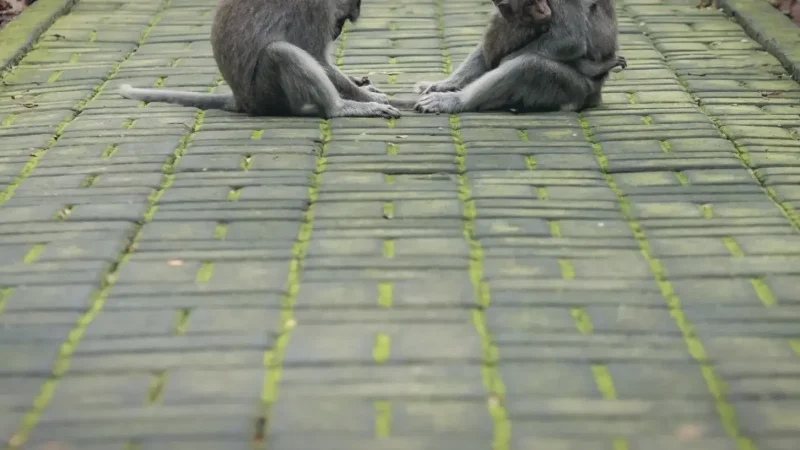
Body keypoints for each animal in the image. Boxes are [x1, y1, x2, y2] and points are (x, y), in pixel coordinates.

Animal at [119, 0, 400, 119]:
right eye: (342, 19)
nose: (337, 31)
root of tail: (242, 101)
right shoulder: (314, 8)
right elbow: (317, 57)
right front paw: (366, 97)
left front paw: (361, 84)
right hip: (266, 94)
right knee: (279, 53)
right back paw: (338, 108)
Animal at [414, 0, 622, 114]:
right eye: (530, 3)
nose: (542, 10)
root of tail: (595, 96)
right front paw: (447, 83)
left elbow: (569, 39)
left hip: (575, 88)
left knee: (528, 67)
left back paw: (458, 101)